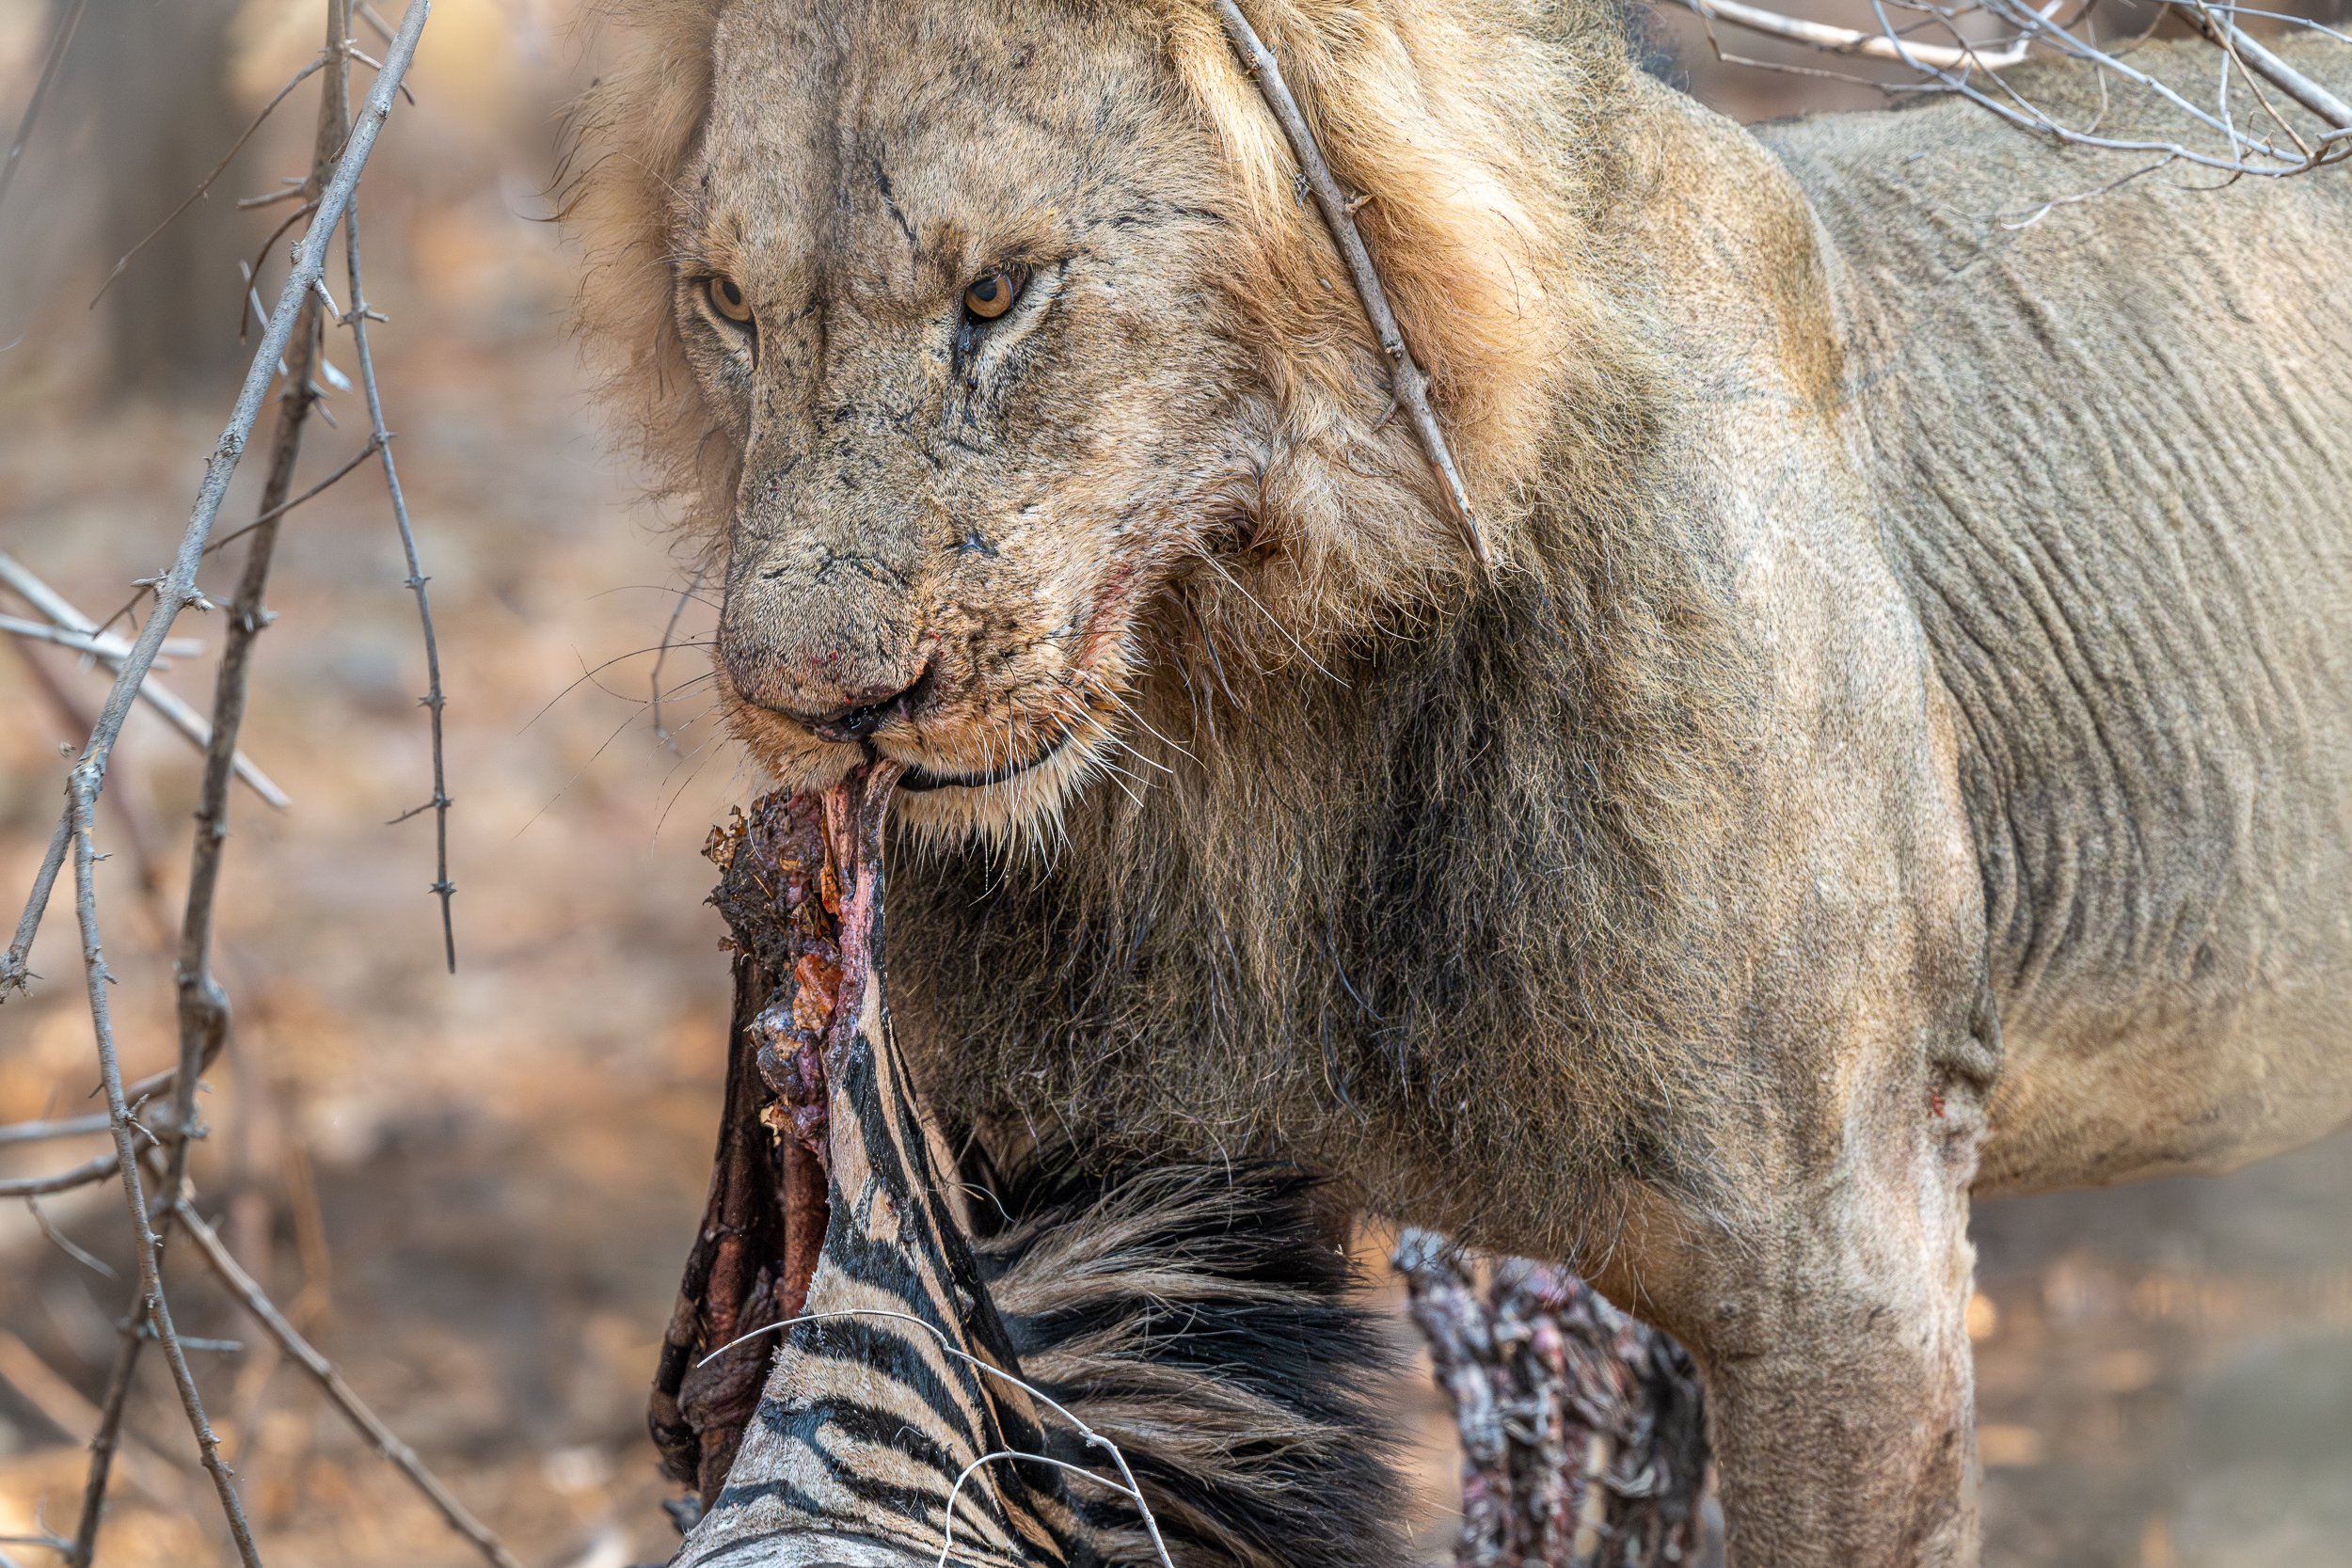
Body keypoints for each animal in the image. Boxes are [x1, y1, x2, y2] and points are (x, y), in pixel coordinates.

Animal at [561, 3, 2352, 1562]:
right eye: (725, 304)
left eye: (999, 292)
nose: (820, 707)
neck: (1244, 710)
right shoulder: (1059, 1191)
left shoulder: (1853, 1254)